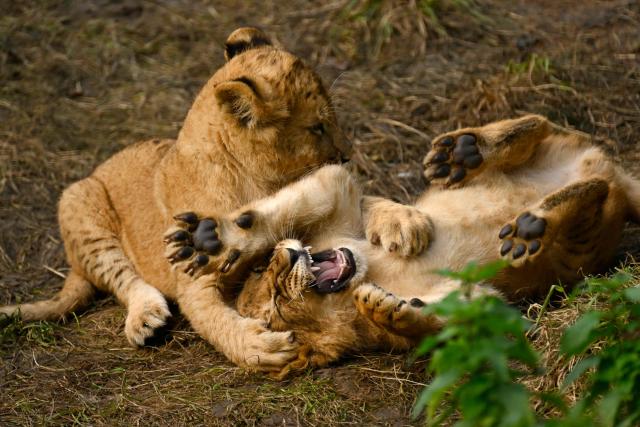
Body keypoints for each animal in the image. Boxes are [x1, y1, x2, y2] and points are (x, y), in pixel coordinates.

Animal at [1, 27, 428, 371]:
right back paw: (145, 318)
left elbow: (361, 200)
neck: (255, 180)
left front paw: (406, 222)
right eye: (317, 127)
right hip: (79, 199)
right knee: (122, 277)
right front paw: (259, 347)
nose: (348, 156)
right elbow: (213, 321)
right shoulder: (194, 281)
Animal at [165, 115, 640, 374]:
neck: (367, 271)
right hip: (581, 249)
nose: (285, 257)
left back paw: (464, 152)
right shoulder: (483, 296)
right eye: (278, 306)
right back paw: (532, 226)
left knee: (541, 125)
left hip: (561, 152)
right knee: (595, 191)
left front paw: (212, 240)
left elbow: (276, 211)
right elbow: (449, 319)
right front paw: (391, 310)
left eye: (267, 273)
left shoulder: (337, 193)